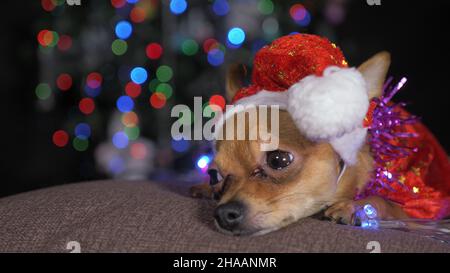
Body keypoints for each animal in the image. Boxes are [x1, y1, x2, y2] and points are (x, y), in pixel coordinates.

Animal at [190, 52, 408, 235]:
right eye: (214, 175)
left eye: (278, 160)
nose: (223, 214)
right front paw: (206, 188)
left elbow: (384, 201)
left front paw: (353, 206)